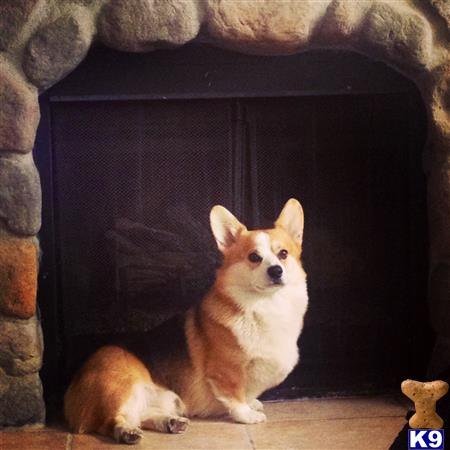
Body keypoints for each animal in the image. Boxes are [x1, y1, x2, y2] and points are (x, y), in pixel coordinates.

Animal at [65, 200, 308, 442]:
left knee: (142, 415)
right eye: (254, 257)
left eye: (283, 253)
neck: (267, 305)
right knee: (111, 421)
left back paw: (171, 422)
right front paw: (247, 415)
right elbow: (235, 396)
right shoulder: (226, 371)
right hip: (121, 388)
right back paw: (127, 432)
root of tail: (70, 394)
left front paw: (253, 404)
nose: (276, 271)